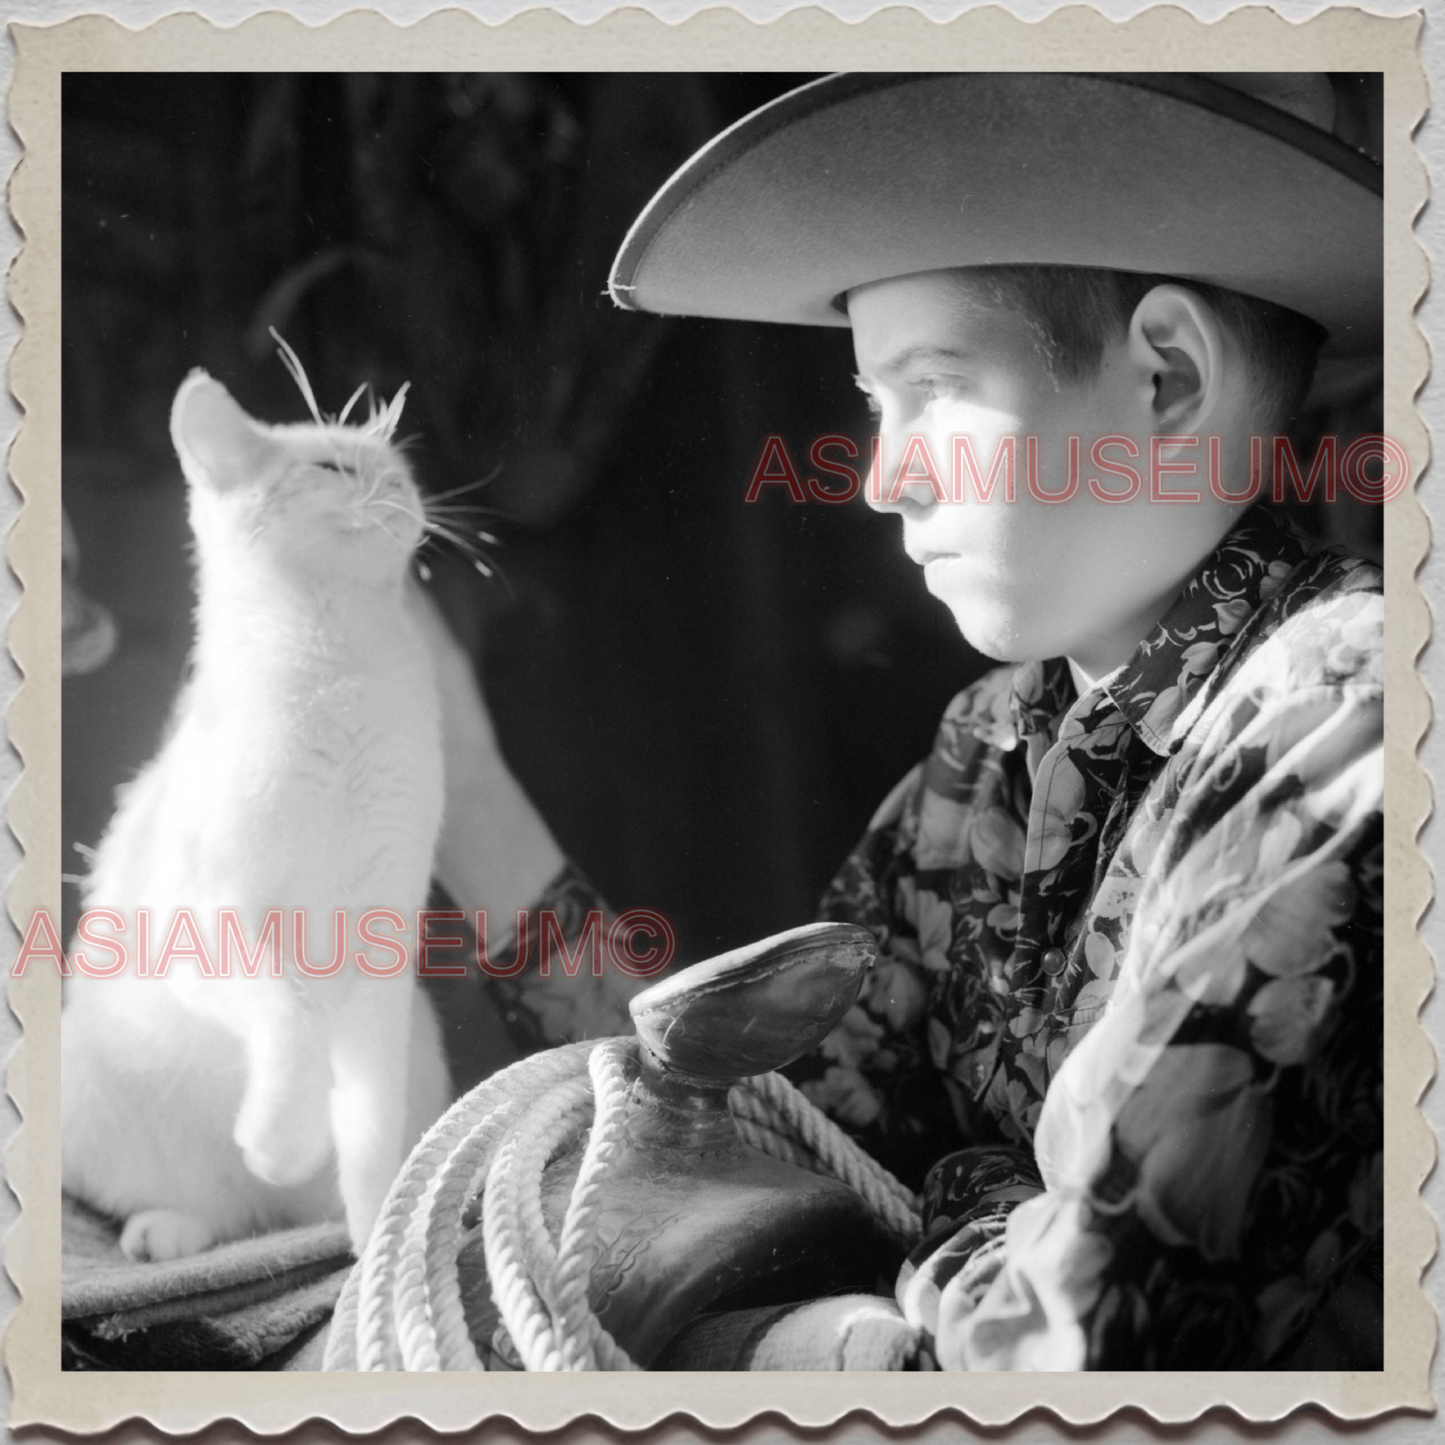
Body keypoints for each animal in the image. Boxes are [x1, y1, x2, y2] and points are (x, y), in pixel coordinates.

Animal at [63, 364, 450, 1265]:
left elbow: (369, 1122)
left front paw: (377, 1236)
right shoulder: (213, 927)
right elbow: (292, 1009)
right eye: (334, 468)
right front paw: (281, 1136)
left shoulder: (383, 941)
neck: (343, 668)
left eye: (400, 470)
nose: (400, 490)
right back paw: (170, 1229)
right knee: (207, 1205)